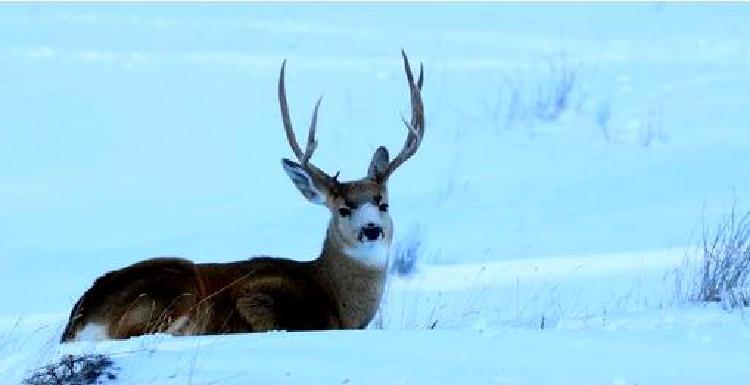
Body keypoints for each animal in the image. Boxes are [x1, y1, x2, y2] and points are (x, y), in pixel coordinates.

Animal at [61, 51, 426, 342]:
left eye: (383, 203)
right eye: (343, 209)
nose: (372, 229)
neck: (336, 297)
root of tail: (78, 322)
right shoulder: (259, 297)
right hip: (172, 289)